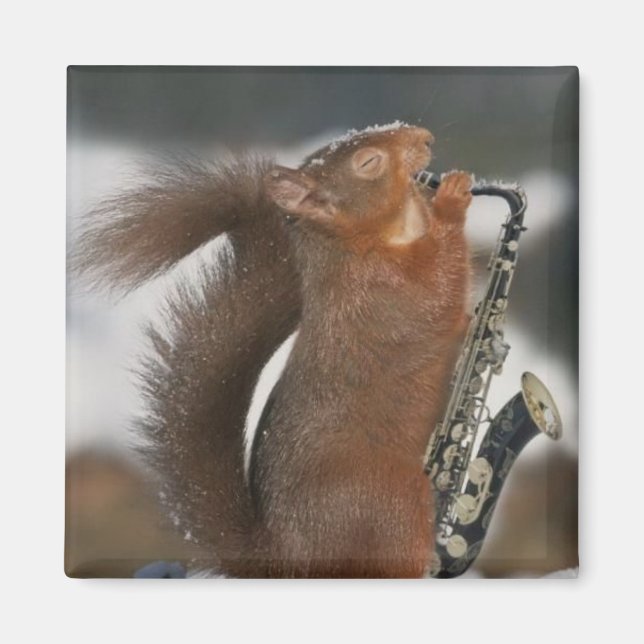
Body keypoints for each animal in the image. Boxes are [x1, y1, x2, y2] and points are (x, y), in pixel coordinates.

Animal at [72, 123, 473, 578]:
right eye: (370, 162)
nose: (425, 138)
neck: (355, 243)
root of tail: (288, 560)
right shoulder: (388, 291)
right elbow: (440, 287)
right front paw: (451, 200)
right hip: (393, 506)